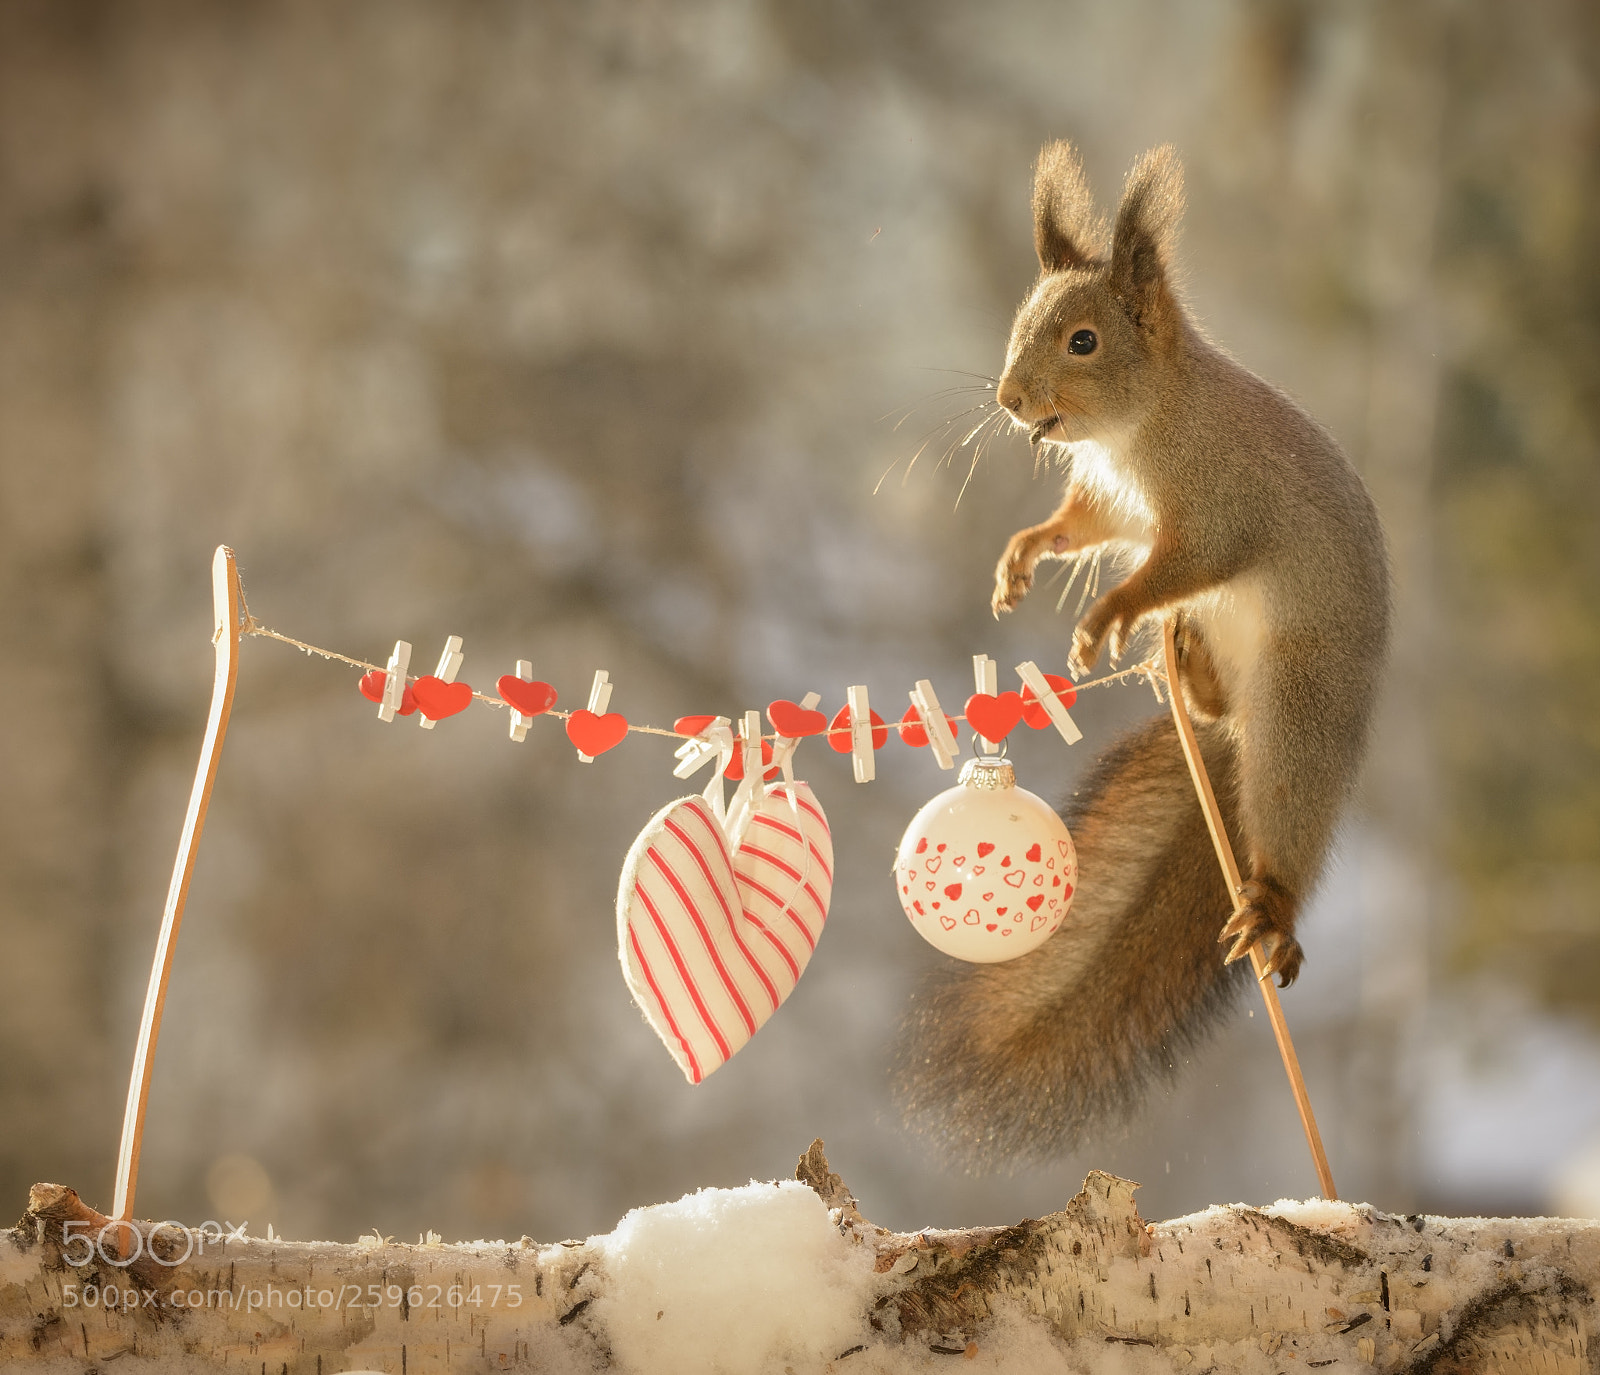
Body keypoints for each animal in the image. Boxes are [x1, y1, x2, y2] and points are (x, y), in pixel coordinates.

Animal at [895, 141, 1390, 1167]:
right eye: (1022, 323)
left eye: (1083, 342)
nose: (1009, 402)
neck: (1147, 420)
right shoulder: (1114, 499)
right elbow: (1083, 524)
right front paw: (1023, 556)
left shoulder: (1218, 508)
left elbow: (1180, 562)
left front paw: (1110, 613)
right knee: (1210, 706)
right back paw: (1189, 671)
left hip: (1299, 711)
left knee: (1287, 815)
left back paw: (1272, 907)